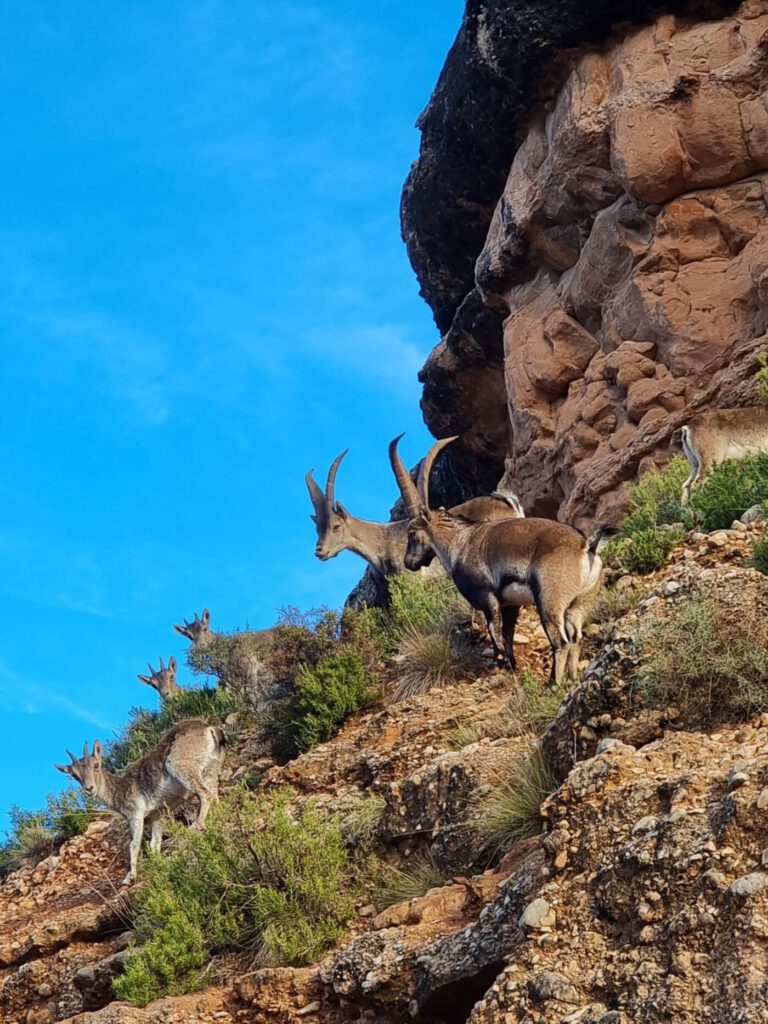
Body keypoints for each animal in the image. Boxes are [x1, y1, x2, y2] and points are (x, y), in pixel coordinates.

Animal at [54, 720, 225, 880]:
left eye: (96, 765)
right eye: (74, 775)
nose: (89, 788)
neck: (119, 790)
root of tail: (208, 729)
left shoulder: (135, 813)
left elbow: (133, 844)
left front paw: (130, 877)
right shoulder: (154, 817)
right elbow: (154, 844)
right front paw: (158, 863)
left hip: (181, 766)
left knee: (205, 793)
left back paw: (196, 826)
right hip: (211, 768)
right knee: (214, 795)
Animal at [409, 436, 618, 684]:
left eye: (411, 534)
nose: (409, 562)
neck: (459, 542)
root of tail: (586, 546)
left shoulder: (486, 596)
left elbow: (494, 630)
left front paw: (500, 662)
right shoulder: (510, 604)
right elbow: (507, 634)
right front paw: (510, 664)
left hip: (549, 600)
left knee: (561, 641)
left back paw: (553, 684)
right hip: (579, 603)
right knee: (576, 638)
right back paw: (572, 678)